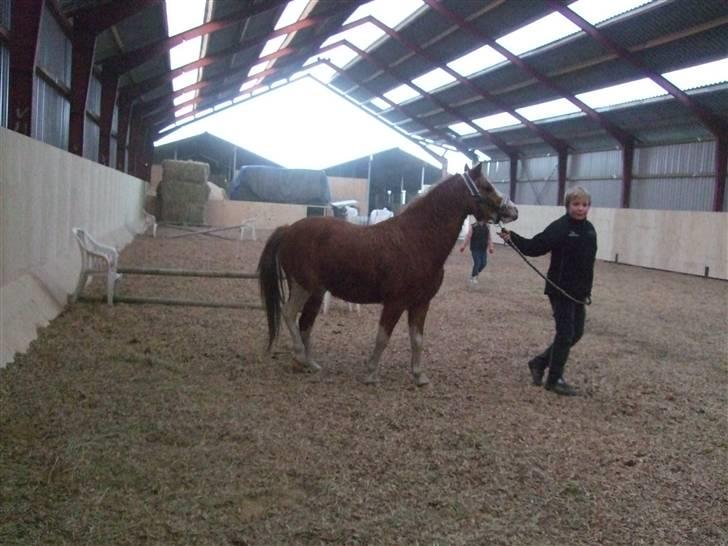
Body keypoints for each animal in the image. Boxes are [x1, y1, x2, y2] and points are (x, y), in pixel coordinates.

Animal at [257, 162, 518, 386]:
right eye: (487, 186)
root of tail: (289, 229)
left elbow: (417, 340)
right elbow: (383, 337)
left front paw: (419, 376)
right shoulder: (395, 302)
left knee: (298, 319)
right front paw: (371, 373)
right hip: (308, 288)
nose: (513, 211)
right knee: (295, 318)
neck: (417, 240)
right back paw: (303, 358)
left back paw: (306, 362)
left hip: (308, 289)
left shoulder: (421, 303)